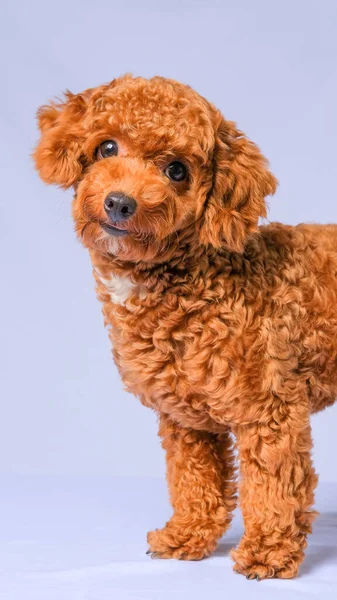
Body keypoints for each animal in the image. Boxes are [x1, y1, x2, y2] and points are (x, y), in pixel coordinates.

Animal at [33, 75, 336, 576]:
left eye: (177, 171)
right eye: (106, 147)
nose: (120, 203)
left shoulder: (269, 411)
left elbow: (272, 487)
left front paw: (269, 552)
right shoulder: (187, 420)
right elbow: (195, 480)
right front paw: (188, 536)